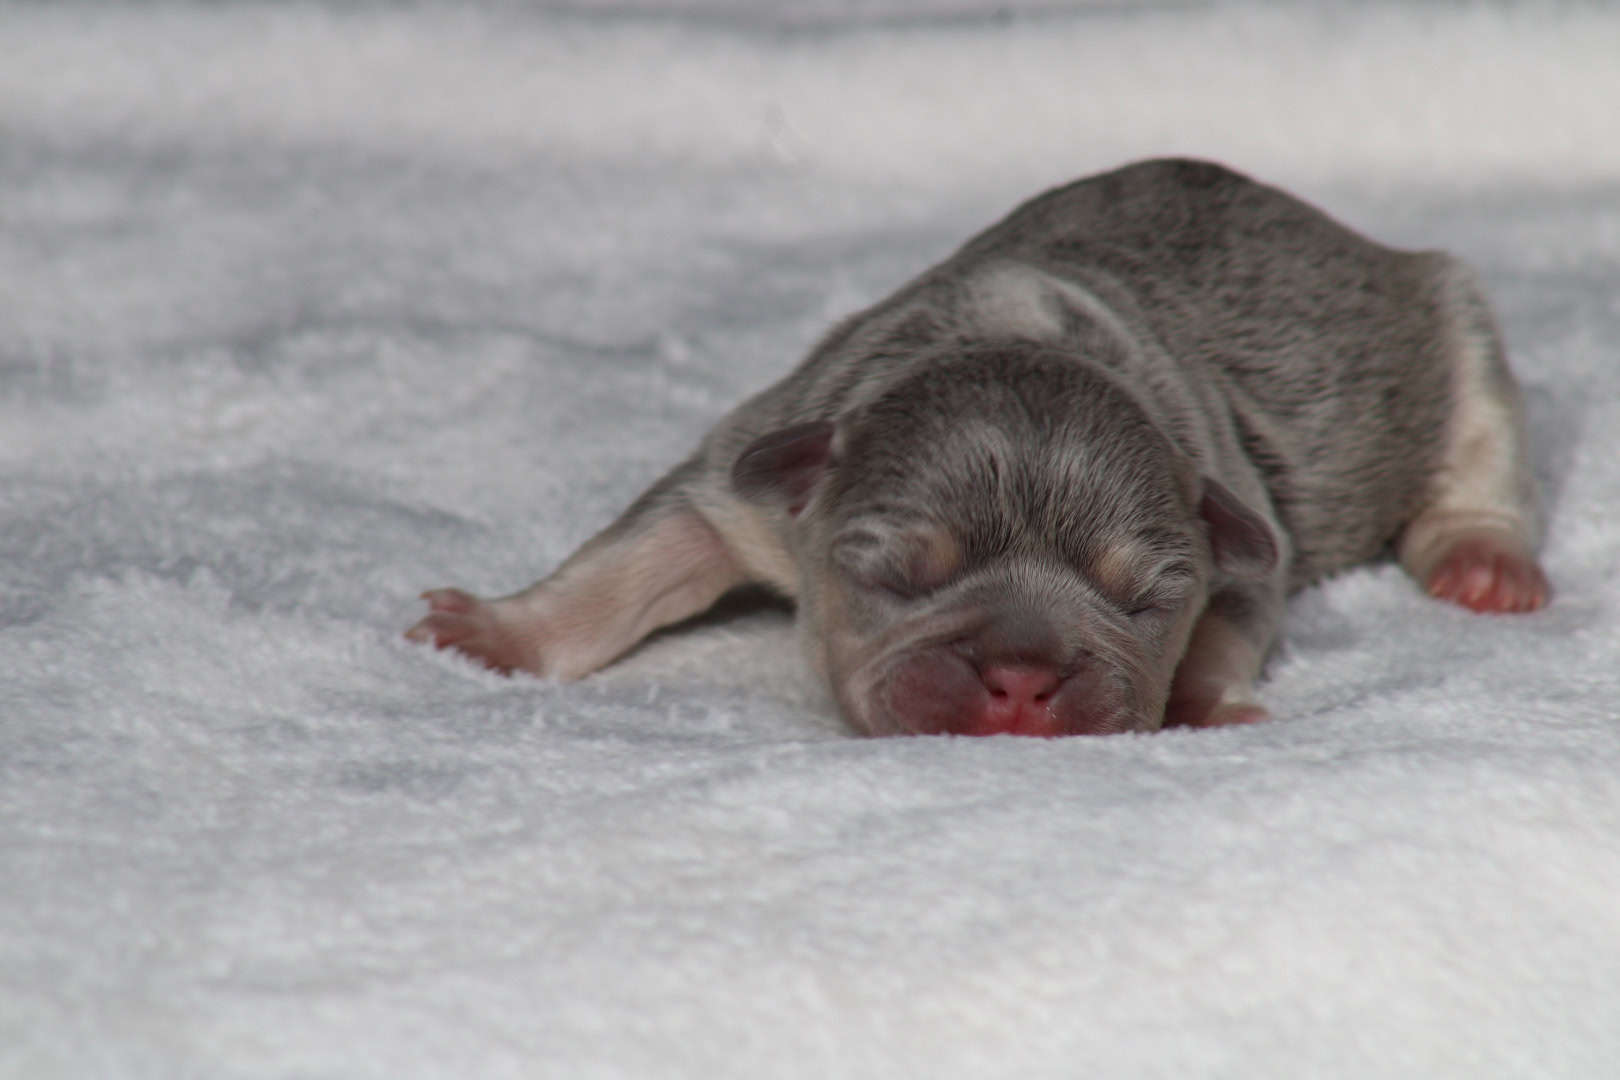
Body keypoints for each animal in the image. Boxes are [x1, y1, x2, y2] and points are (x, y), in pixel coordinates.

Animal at [401, 158, 1542, 735]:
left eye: (1144, 601)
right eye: (897, 577)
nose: (1023, 682)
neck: (1023, 332)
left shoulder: (1238, 528)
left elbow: (1232, 626)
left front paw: (1205, 701)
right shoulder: (749, 473)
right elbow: (635, 559)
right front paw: (497, 634)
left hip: (1452, 310)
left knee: (1482, 442)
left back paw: (1485, 561)